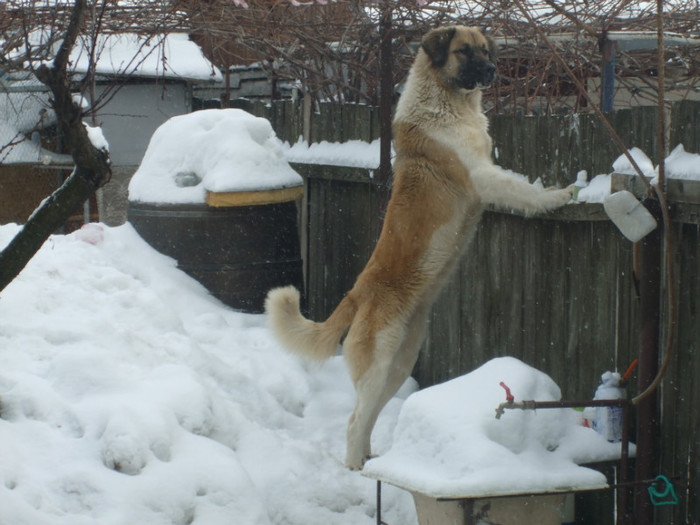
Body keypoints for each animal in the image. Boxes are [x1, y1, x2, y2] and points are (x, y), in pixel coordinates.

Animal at [266, 24, 572, 468]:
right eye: (464, 52)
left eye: (486, 50)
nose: (493, 70)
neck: (448, 100)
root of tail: (356, 294)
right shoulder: (482, 176)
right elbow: (523, 190)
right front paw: (560, 195)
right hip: (378, 366)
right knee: (354, 421)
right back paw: (356, 466)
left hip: (399, 365)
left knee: (370, 416)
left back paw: (372, 460)